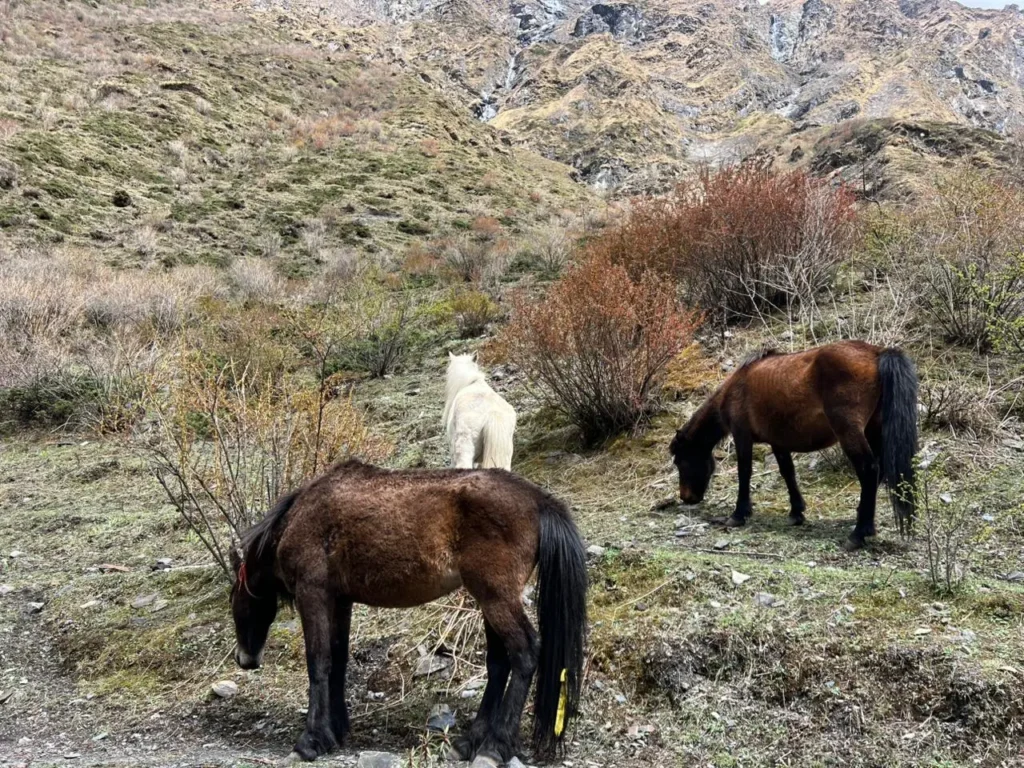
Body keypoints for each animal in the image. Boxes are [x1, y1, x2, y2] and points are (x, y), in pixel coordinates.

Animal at [229, 459, 587, 766]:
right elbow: (338, 661)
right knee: (499, 662)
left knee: (525, 652)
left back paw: (495, 747)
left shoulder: (313, 593)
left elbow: (319, 663)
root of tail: (539, 500)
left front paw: (310, 741)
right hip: (489, 600)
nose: (244, 658)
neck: (301, 516)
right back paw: (469, 742)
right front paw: (337, 730)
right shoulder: (340, 600)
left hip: (497, 598)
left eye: (235, 600)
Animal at [669, 340, 918, 551]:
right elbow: (787, 472)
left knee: (869, 470)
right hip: (873, 430)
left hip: (850, 432)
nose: (686, 497)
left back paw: (858, 534)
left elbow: (744, 473)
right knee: (879, 471)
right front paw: (796, 513)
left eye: (681, 461)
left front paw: (739, 514)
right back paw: (865, 524)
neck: (736, 387)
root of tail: (877, 353)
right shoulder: (778, 442)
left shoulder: (742, 436)